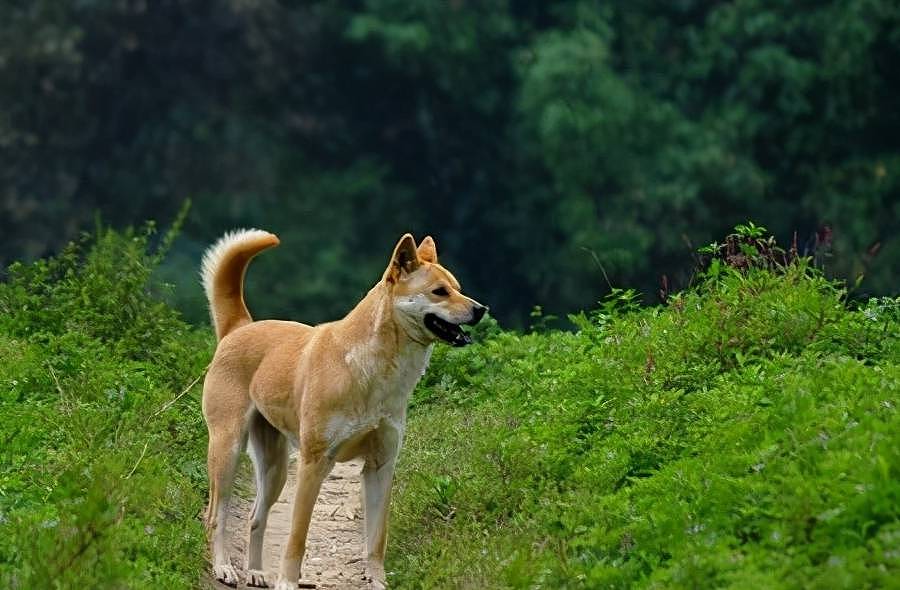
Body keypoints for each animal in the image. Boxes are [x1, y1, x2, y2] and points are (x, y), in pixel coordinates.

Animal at [201, 231, 488, 590]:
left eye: (458, 287)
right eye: (439, 291)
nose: (481, 310)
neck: (372, 369)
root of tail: (240, 327)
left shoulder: (381, 466)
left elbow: (377, 538)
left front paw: (377, 582)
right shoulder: (314, 464)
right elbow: (297, 537)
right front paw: (288, 582)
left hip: (274, 468)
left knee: (256, 518)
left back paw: (255, 571)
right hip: (227, 450)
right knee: (217, 515)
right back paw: (223, 566)